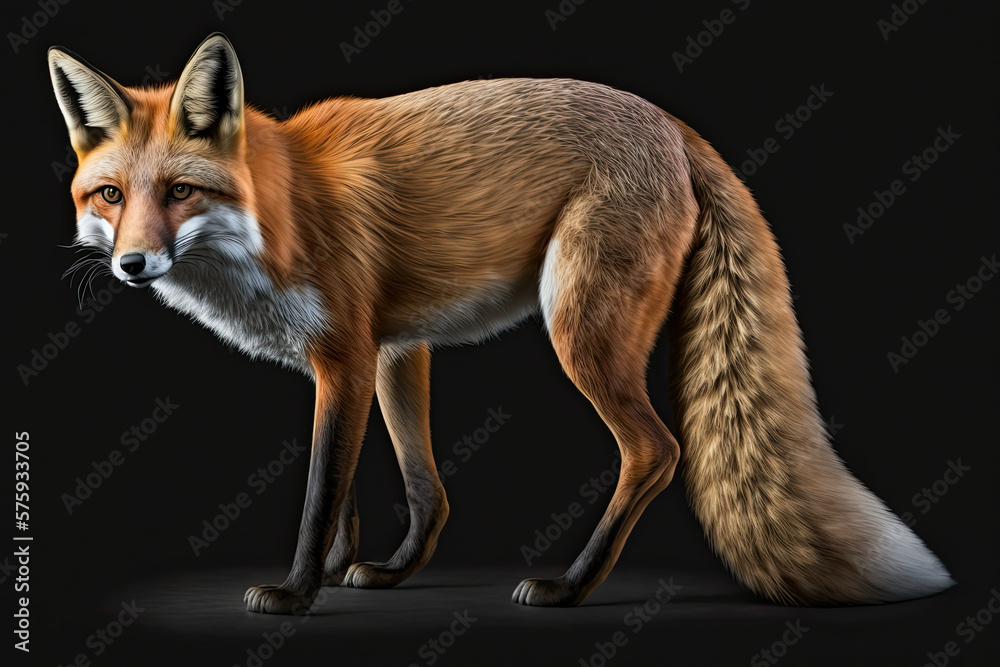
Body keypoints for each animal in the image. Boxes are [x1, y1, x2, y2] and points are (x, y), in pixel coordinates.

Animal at [48, 33, 954, 614]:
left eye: (180, 192)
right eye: (111, 196)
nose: (132, 265)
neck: (282, 213)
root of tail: (669, 123)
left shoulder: (345, 356)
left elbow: (319, 491)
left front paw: (295, 592)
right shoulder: (384, 352)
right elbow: (409, 488)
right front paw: (362, 570)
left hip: (581, 331)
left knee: (657, 451)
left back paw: (571, 587)